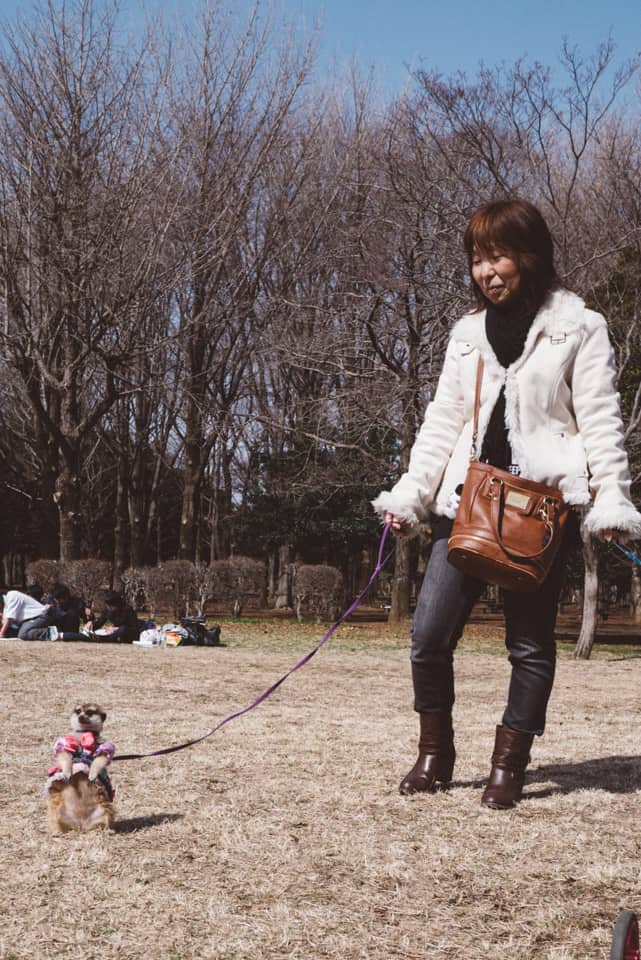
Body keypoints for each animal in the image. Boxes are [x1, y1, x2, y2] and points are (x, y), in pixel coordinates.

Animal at [45, 696, 115, 832]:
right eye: (78, 711)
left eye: (90, 712)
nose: (81, 716)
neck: (84, 734)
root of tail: (80, 824)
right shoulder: (66, 741)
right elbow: (63, 752)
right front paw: (67, 772)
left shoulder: (104, 744)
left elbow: (102, 756)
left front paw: (93, 774)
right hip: (57, 804)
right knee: (54, 814)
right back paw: (56, 831)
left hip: (104, 805)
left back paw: (108, 830)